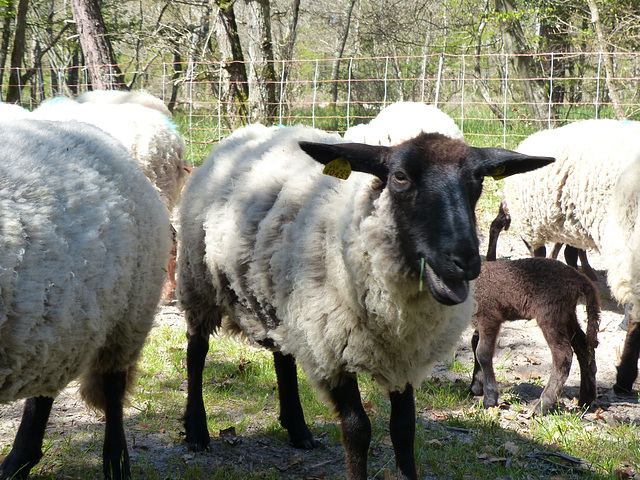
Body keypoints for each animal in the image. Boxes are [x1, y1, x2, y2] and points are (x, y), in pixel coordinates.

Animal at [0, 118, 172, 478]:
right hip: (56, 324)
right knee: (45, 388)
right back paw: (19, 462)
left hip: (129, 314)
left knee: (113, 384)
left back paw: (115, 461)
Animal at [175, 122, 552, 478]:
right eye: (399, 177)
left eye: (478, 180)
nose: (465, 261)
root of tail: (249, 131)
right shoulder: (333, 348)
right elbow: (357, 430)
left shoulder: (404, 352)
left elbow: (404, 428)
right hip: (198, 282)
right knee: (196, 351)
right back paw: (196, 431)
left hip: (279, 294)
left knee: (283, 355)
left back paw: (298, 429)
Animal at [470, 256, 600, 414]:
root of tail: (579, 278)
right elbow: (474, 344)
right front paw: (476, 387)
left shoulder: (489, 316)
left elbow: (482, 353)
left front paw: (489, 399)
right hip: (567, 313)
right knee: (583, 347)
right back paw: (586, 398)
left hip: (550, 312)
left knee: (563, 355)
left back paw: (544, 404)